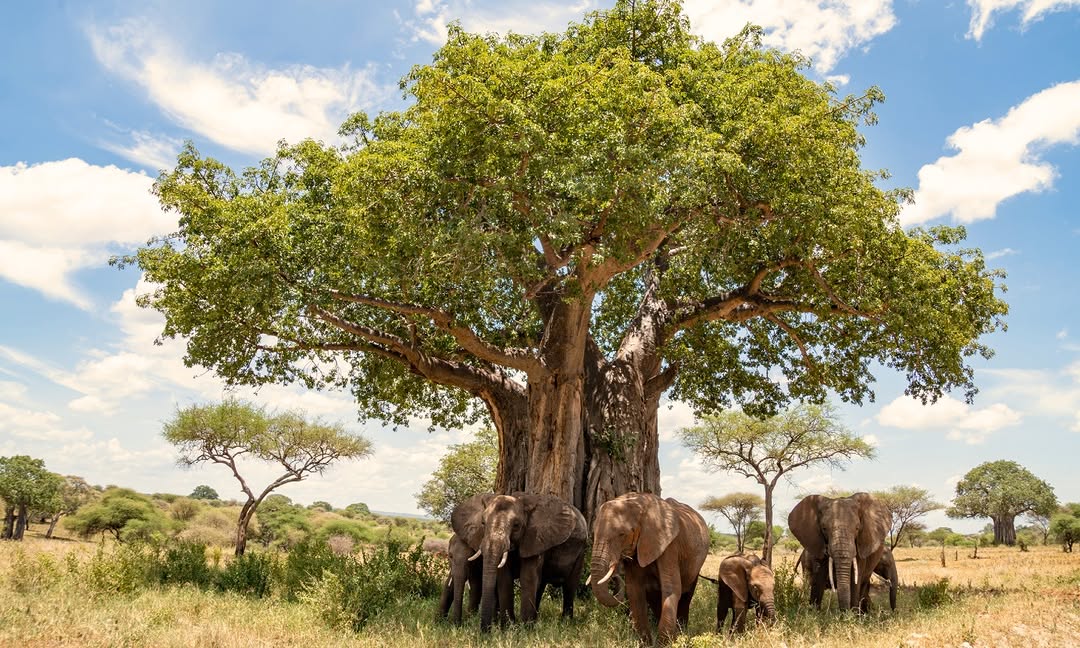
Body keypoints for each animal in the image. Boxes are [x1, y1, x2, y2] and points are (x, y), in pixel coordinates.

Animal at [451, 492, 588, 632]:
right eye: (483, 523)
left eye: (516, 526)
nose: (485, 632)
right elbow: (505, 578)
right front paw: (508, 628)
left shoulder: (535, 538)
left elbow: (527, 576)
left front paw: (525, 630)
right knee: (541, 584)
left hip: (581, 550)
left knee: (570, 586)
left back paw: (565, 623)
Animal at [589, 492, 710, 646]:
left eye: (622, 534)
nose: (615, 576)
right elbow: (634, 590)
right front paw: (647, 644)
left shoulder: (671, 546)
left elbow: (672, 588)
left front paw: (665, 644)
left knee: (686, 595)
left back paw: (682, 634)